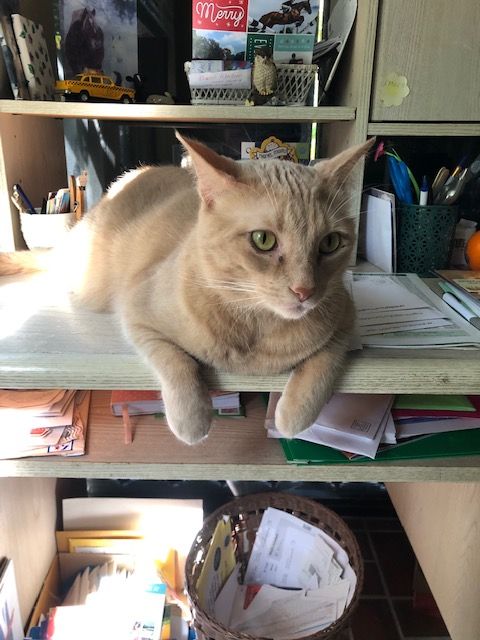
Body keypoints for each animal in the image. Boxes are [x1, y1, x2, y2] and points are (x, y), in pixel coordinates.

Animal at [0, 134, 376, 444]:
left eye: (330, 243)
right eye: (263, 240)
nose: (304, 291)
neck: (254, 327)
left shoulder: (346, 319)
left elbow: (323, 363)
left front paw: (292, 416)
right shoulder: (139, 316)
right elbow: (177, 363)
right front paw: (192, 419)